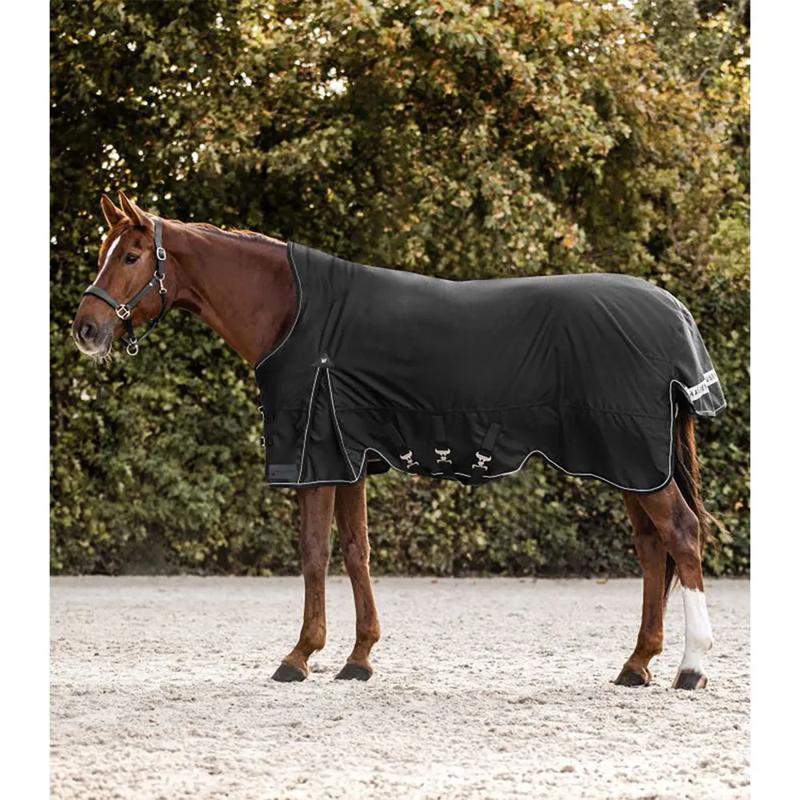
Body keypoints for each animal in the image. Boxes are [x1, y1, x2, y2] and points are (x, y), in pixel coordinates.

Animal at [72, 191, 719, 690]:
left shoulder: (315, 458)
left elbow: (313, 553)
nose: (86, 329)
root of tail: (673, 313)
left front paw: (299, 656)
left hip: (634, 459)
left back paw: (690, 667)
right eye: (103, 254)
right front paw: (358, 658)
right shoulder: (349, 461)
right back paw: (637, 664)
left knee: (682, 536)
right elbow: (356, 551)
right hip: (632, 466)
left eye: (131, 255)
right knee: (651, 548)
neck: (294, 312)